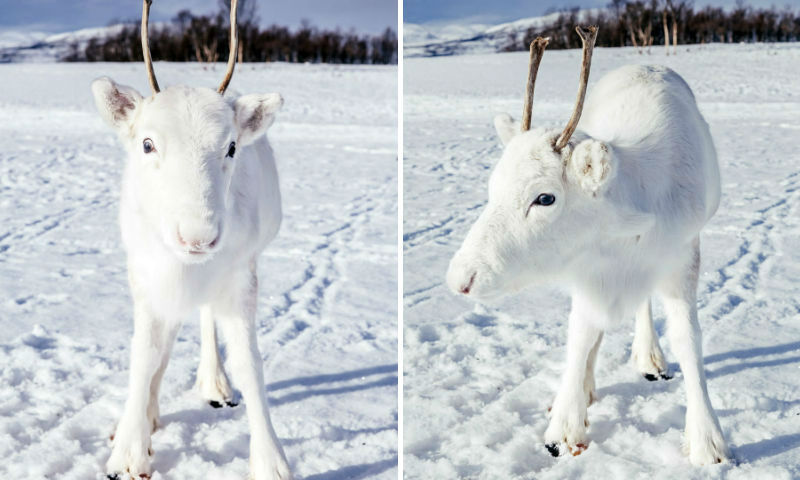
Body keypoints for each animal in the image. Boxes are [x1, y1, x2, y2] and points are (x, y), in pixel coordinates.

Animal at [92, 1, 290, 478]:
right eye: (147, 144)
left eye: (231, 147)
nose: (198, 236)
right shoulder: (145, 275)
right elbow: (145, 353)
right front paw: (129, 448)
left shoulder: (240, 276)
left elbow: (249, 362)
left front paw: (271, 460)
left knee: (204, 318)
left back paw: (213, 383)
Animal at [446, 27, 736, 464]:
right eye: (493, 186)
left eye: (545, 198)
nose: (461, 279)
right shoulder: (586, 270)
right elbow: (581, 335)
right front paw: (565, 424)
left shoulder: (682, 256)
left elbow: (688, 340)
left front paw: (708, 441)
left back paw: (649, 357)